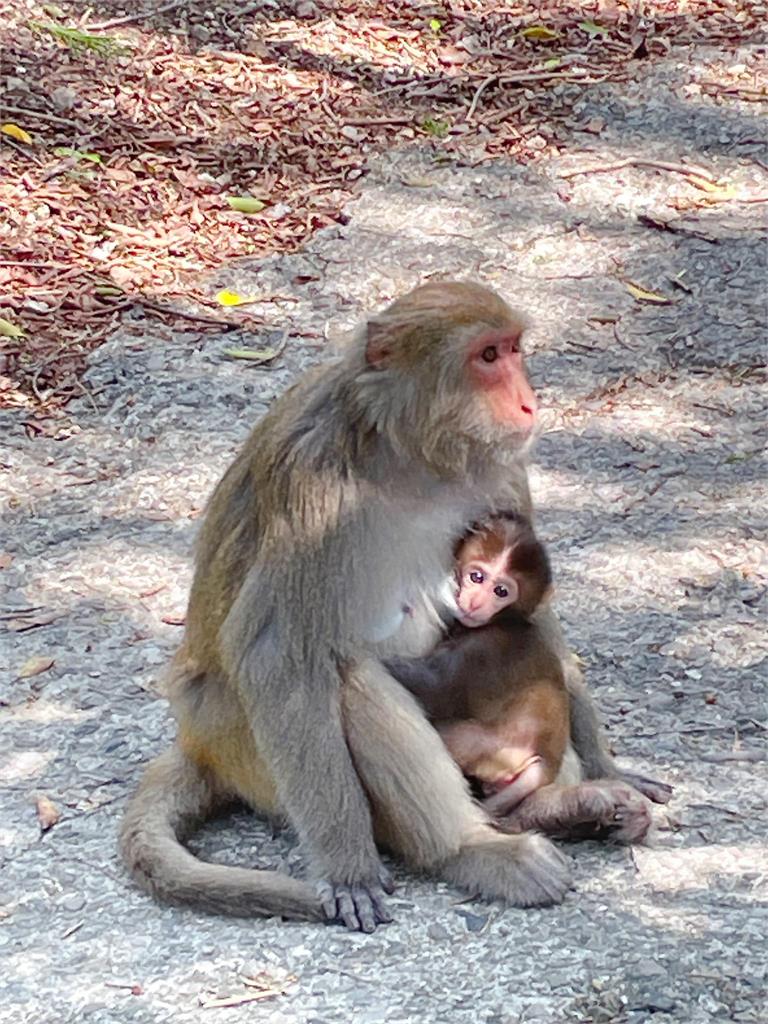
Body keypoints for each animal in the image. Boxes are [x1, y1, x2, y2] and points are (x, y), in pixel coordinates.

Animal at [387, 512, 651, 839]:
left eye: (501, 591)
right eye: (477, 577)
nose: (475, 602)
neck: (506, 621)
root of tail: (547, 763)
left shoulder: (482, 651)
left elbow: (433, 687)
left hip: (496, 750)